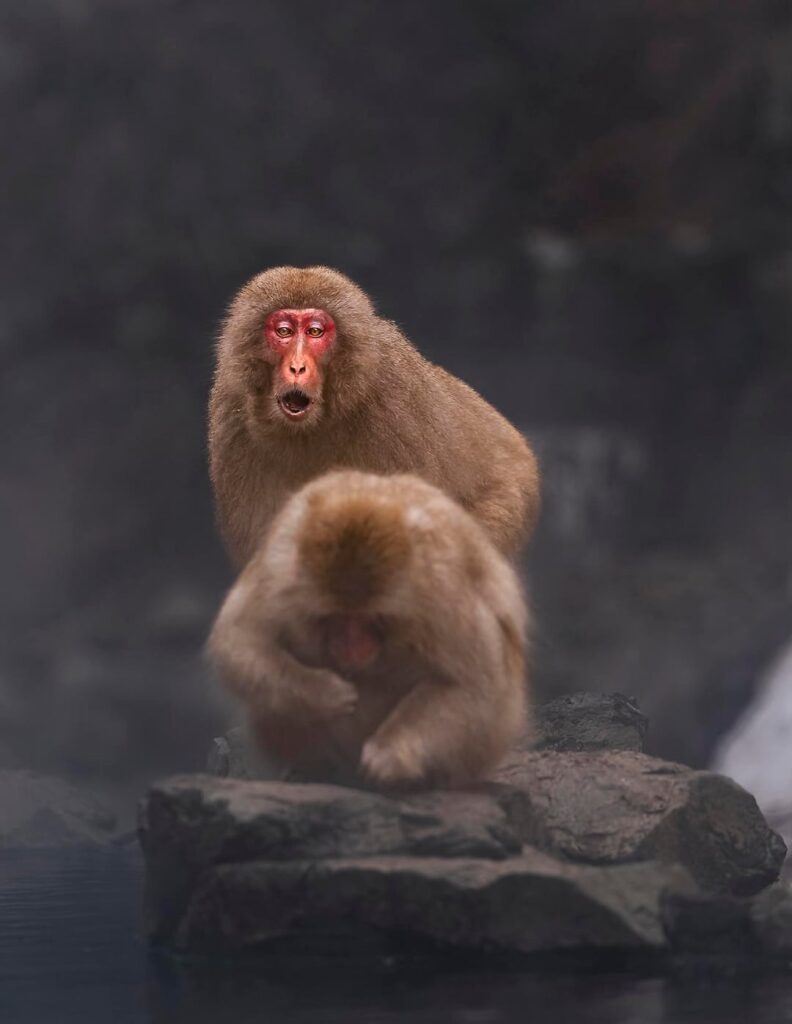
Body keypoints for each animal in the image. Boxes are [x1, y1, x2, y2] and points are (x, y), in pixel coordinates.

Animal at [207, 470, 531, 789]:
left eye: (373, 619)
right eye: (335, 618)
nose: (351, 646)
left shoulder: (442, 586)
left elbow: (474, 682)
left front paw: (389, 755)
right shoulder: (281, 569)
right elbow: (239, 639)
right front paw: (325, 692)